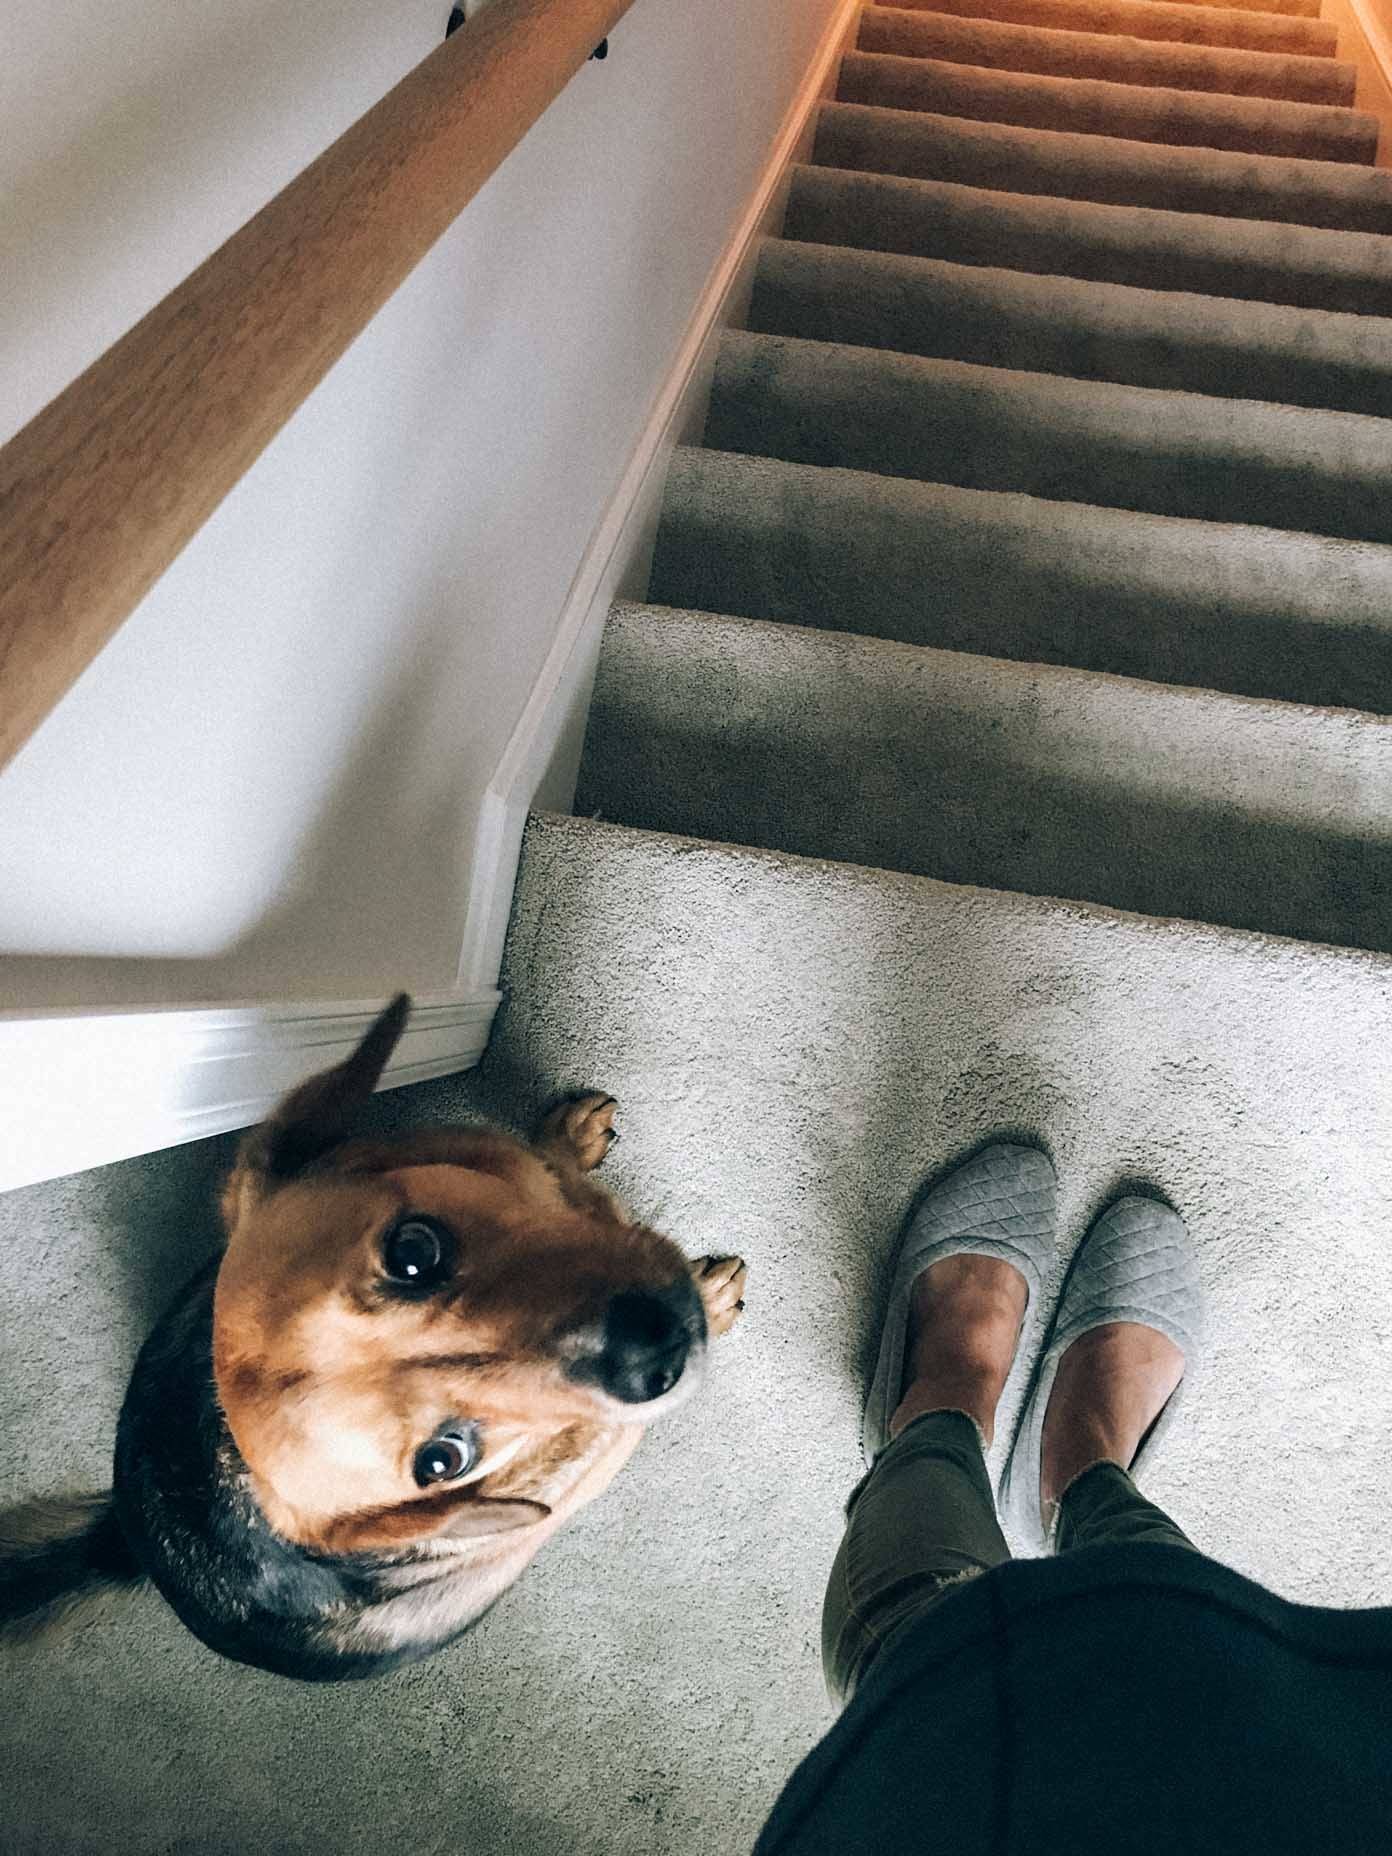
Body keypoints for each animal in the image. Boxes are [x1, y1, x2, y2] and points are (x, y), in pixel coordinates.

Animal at [2, 1002, 753, 1685]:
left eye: (413, 1251)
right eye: (443, 1460)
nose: (652, 1356)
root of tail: (128, 1541)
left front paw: (567, 1141)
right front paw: (710, 1295)